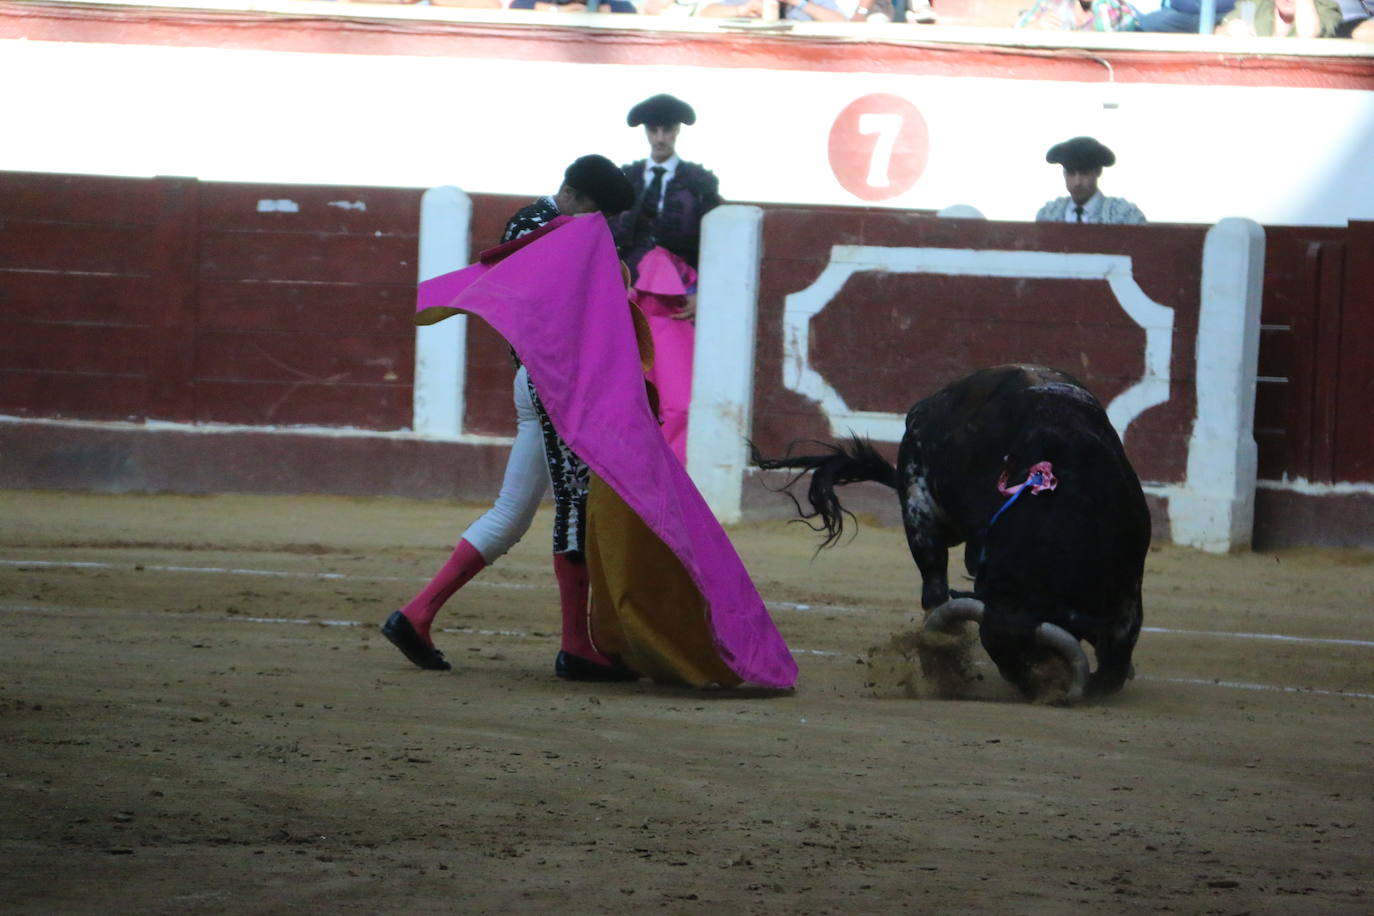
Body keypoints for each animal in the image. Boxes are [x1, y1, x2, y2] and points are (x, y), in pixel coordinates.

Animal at [758, 365, 1154, 703]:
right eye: (1000, 656)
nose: (1029, 688)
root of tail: (929, 404)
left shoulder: (1128, 593)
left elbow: (1116, 656)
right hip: (920, 515)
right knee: (933, 586)